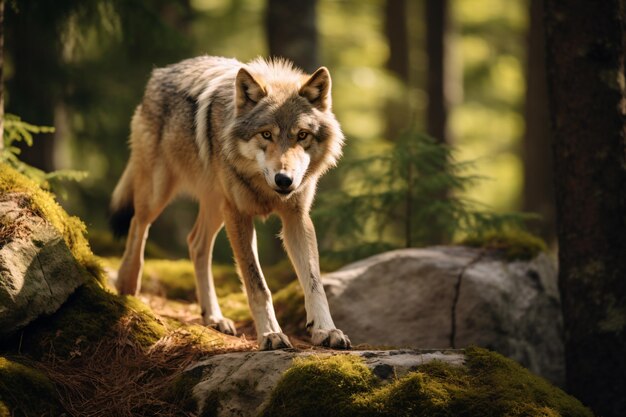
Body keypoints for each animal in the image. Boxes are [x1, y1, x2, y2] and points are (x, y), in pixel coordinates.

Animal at [109, 55, 348, 348]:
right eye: (266, 134)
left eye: (302, 135)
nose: (284, 180)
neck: (264, 187)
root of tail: (161, 72)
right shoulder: (239, 215)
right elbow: (258, 285)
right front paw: (270, 334)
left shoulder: (296, 219)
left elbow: (314, 283)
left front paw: (326, 330)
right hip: (159, 193)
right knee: (138, 225)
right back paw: (127, 286)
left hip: (215, 206)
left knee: (195, 243)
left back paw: (214, 317)